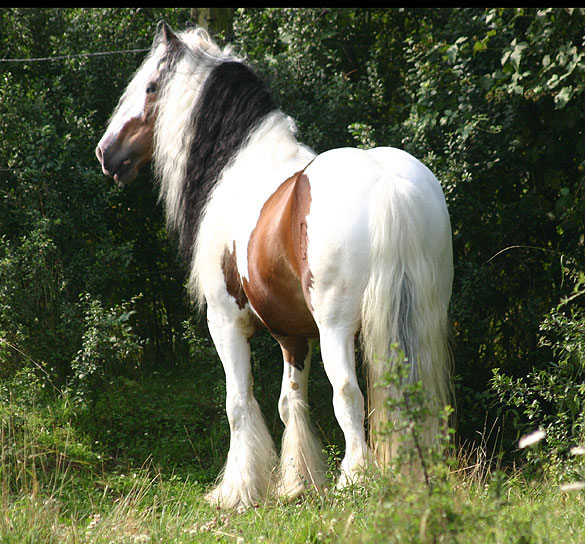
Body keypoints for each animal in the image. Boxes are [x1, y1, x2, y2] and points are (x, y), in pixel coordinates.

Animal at [96, 22, 454, 510]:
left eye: (150, 87)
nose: (105, 152)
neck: (238, 171)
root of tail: (388, 184)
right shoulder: (292, 334)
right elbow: (291, 402)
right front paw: (297, 482)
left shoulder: (226, 323)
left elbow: (239, 403)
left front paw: (238, 490)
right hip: (421, 318)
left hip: (337, 328)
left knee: (347, 392)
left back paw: (355, 481)